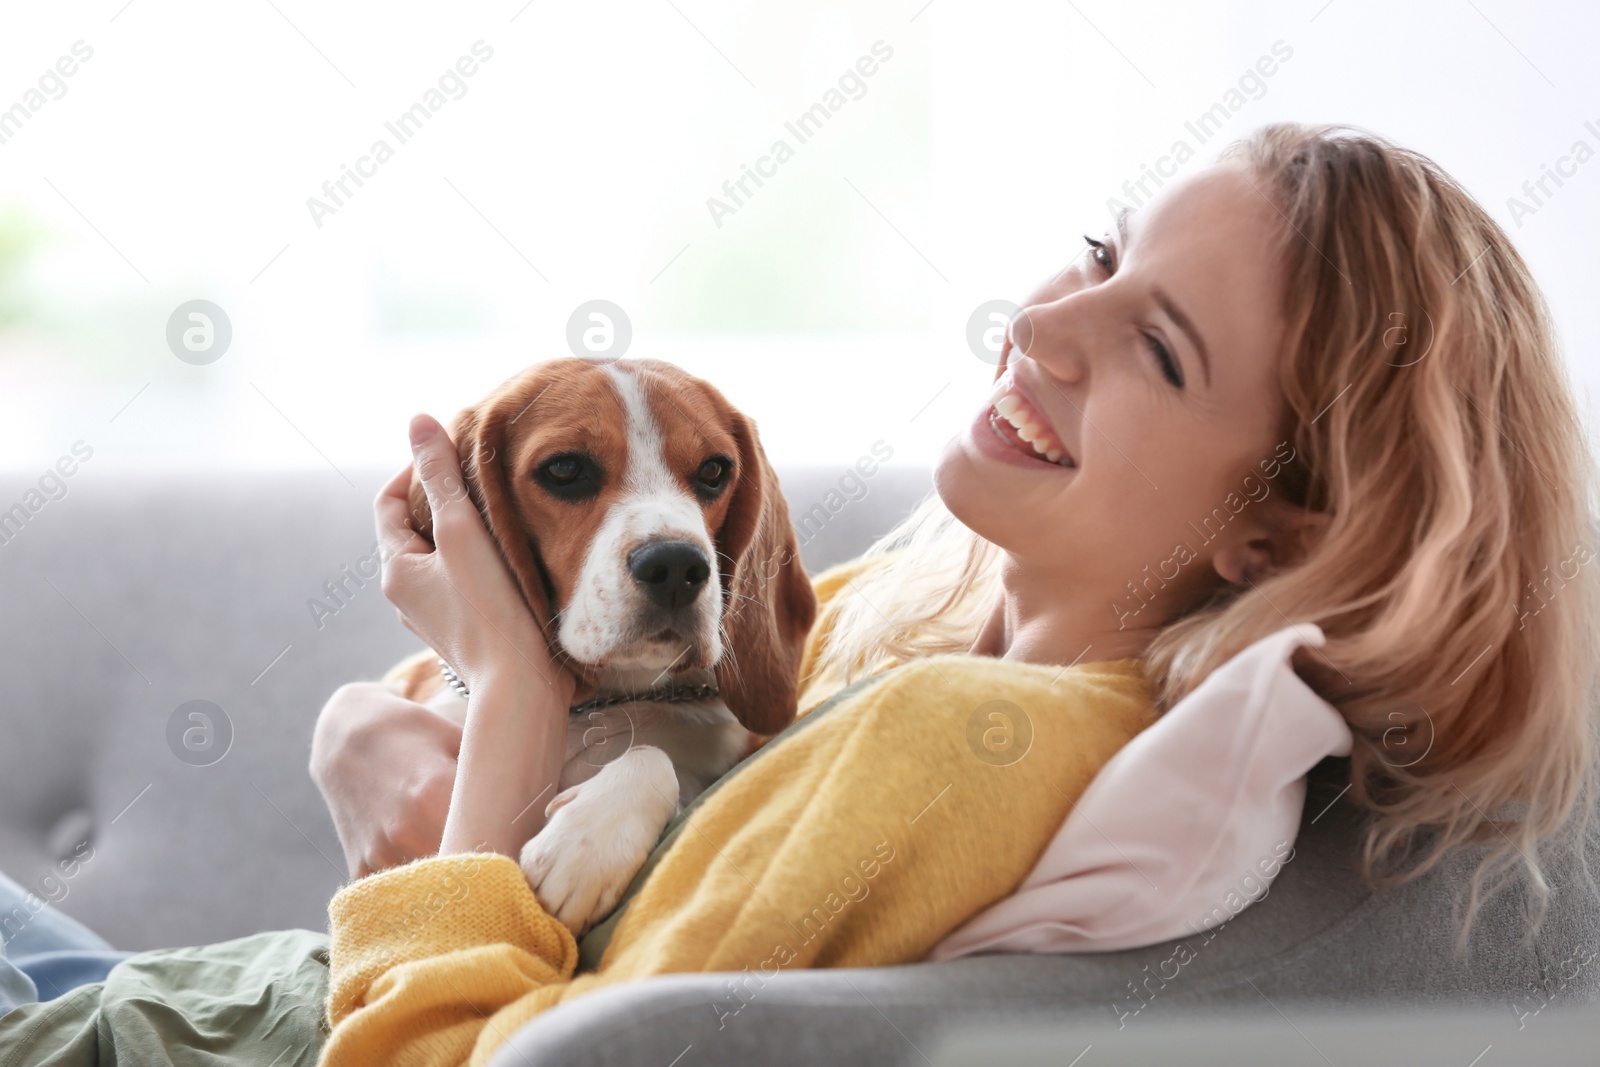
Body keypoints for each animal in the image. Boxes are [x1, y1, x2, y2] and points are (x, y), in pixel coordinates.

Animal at [384, 356, 812, 934]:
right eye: (565, 470)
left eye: (713, 471)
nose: (677, 565)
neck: (604, 704)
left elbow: (653, 756)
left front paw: (587, 842)